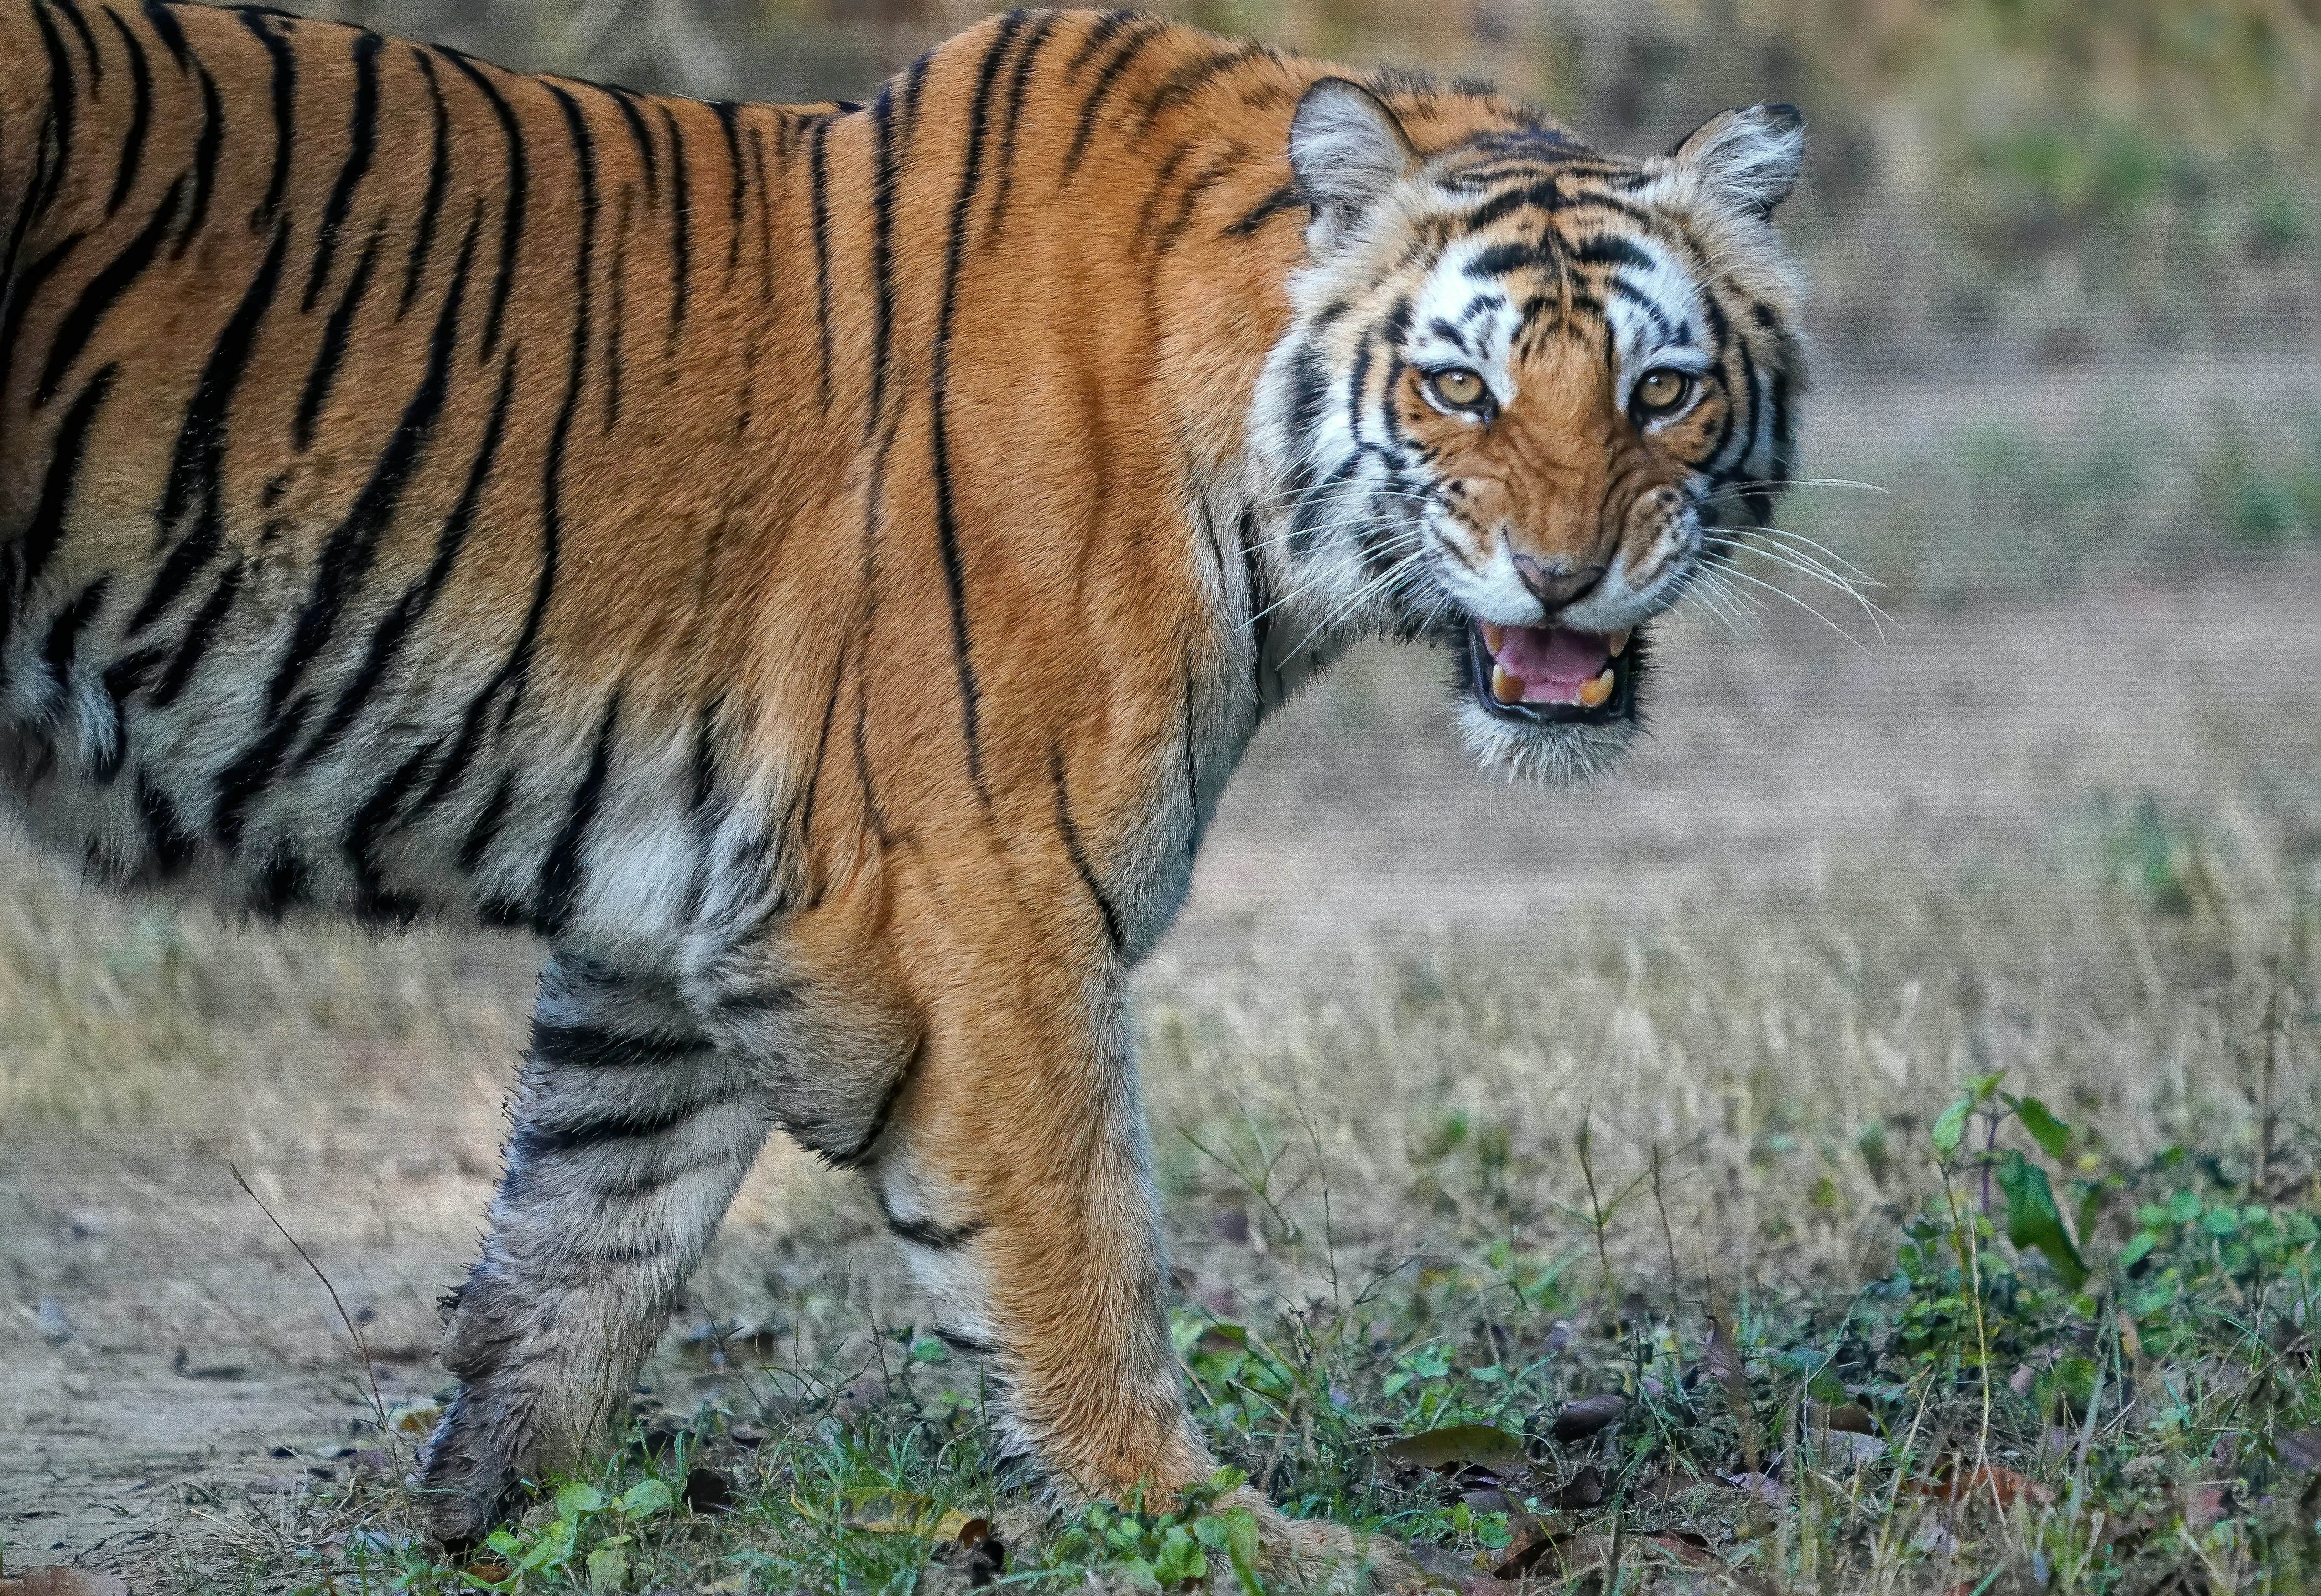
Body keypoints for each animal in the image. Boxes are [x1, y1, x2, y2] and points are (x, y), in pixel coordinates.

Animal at [0, 0, 1801, 1568]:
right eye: (1457, 387)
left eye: (1659, 388)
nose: (1563, 577)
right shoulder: (974, 891)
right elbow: (1077, 1240)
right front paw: (1210, 1527)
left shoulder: (692, 905)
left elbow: (590, 1218)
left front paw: (491, 1515)